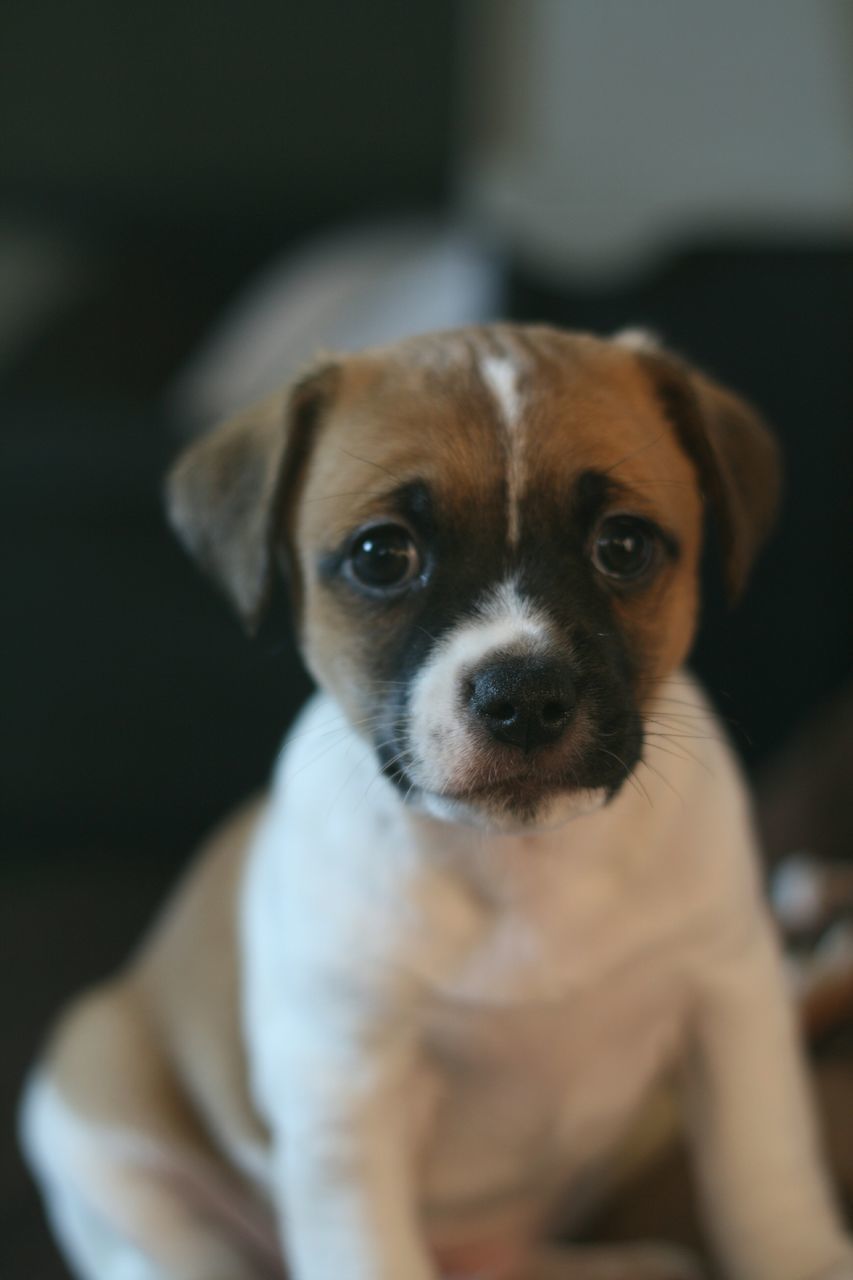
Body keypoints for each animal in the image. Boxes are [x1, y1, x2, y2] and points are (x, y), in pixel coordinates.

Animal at [21, 327, 850, 1280]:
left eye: (624, 546)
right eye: (382, 555)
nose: (523, 696)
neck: (522, 867)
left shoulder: (729, 1003)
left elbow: (764, 1176)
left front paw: (804, 1253)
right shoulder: (348, 1100)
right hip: (98, 1118)